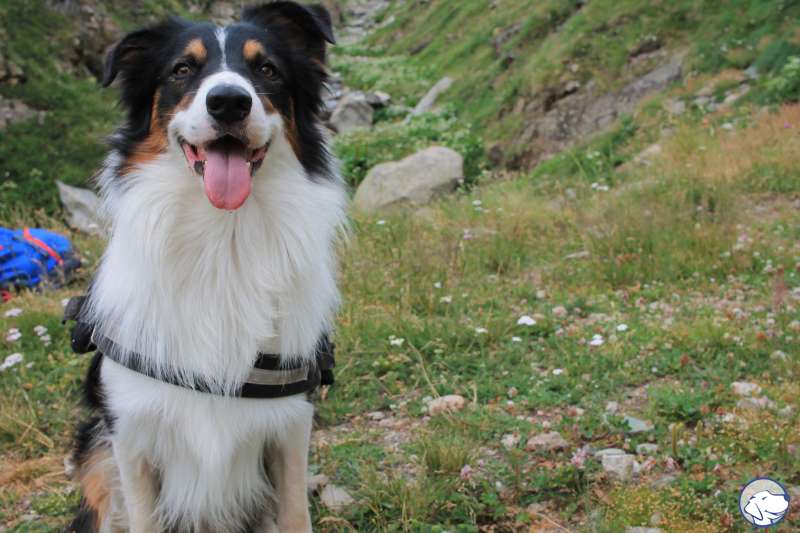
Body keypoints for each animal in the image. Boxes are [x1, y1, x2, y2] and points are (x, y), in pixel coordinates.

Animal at [66, 2, 345, 532]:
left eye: (266, 69)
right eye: (182, 69)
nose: (229, 103)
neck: (222, 240)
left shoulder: (290, 423)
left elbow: (296, 512)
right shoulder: (130, 433)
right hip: (95, 454)